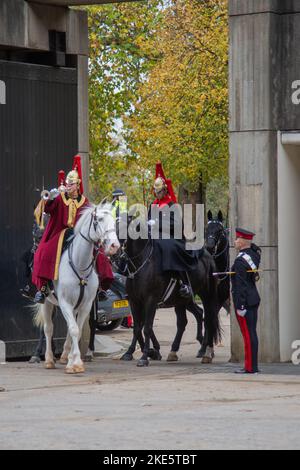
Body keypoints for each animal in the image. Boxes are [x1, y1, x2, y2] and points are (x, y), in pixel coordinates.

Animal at [35, 202, 119, 374]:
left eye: (114, 220)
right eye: (99, 219)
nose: (115, 246)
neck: (80, 264)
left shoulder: (85, 305)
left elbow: (77, 330)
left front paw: (73, 361)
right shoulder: (65, 303)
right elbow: (73, 329)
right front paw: (76, 363)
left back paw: (64, 356)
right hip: (48, 302)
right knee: (48, 328)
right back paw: (49, 360)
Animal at [119, 217, 220, 368]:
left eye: (124, 226)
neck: (140, 263)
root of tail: (208, 254)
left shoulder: (151, 300)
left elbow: (147, 327)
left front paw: (145, 356)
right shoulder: (134, 300)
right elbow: (137, 327)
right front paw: (131, 352)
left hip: (207, 295)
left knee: (208, 319)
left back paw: (207, 352)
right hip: (181, 300)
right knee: (185, 321)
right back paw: (174, 351)